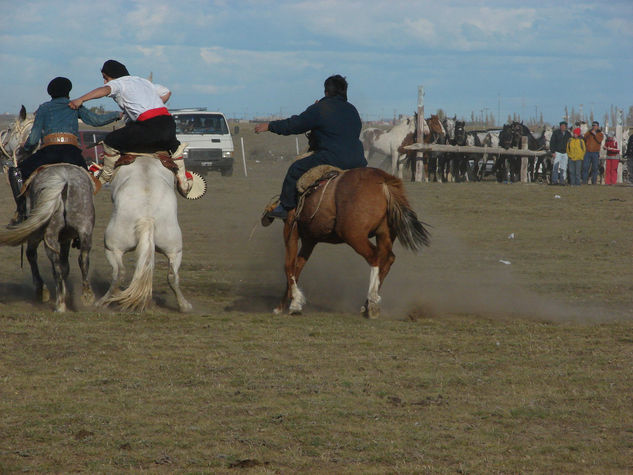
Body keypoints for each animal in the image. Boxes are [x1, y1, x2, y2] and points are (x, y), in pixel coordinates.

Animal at [97, 155, 191, 312]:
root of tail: (147, 218)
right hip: (175, 250)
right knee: (172, 275)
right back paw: (184, 306)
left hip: (111, 248)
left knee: (119, 273)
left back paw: (104, 301)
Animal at [276, 167, 430, 320]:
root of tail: (384, 181)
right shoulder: (310, 239)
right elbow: (298, 266)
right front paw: (290, 303)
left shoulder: (291, 230)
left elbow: (288, 265)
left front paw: (289, 305)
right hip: (384, 234)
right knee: (387, 259)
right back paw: (367, 305)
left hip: (354, 236)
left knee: (374, 256)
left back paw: (372, 303)